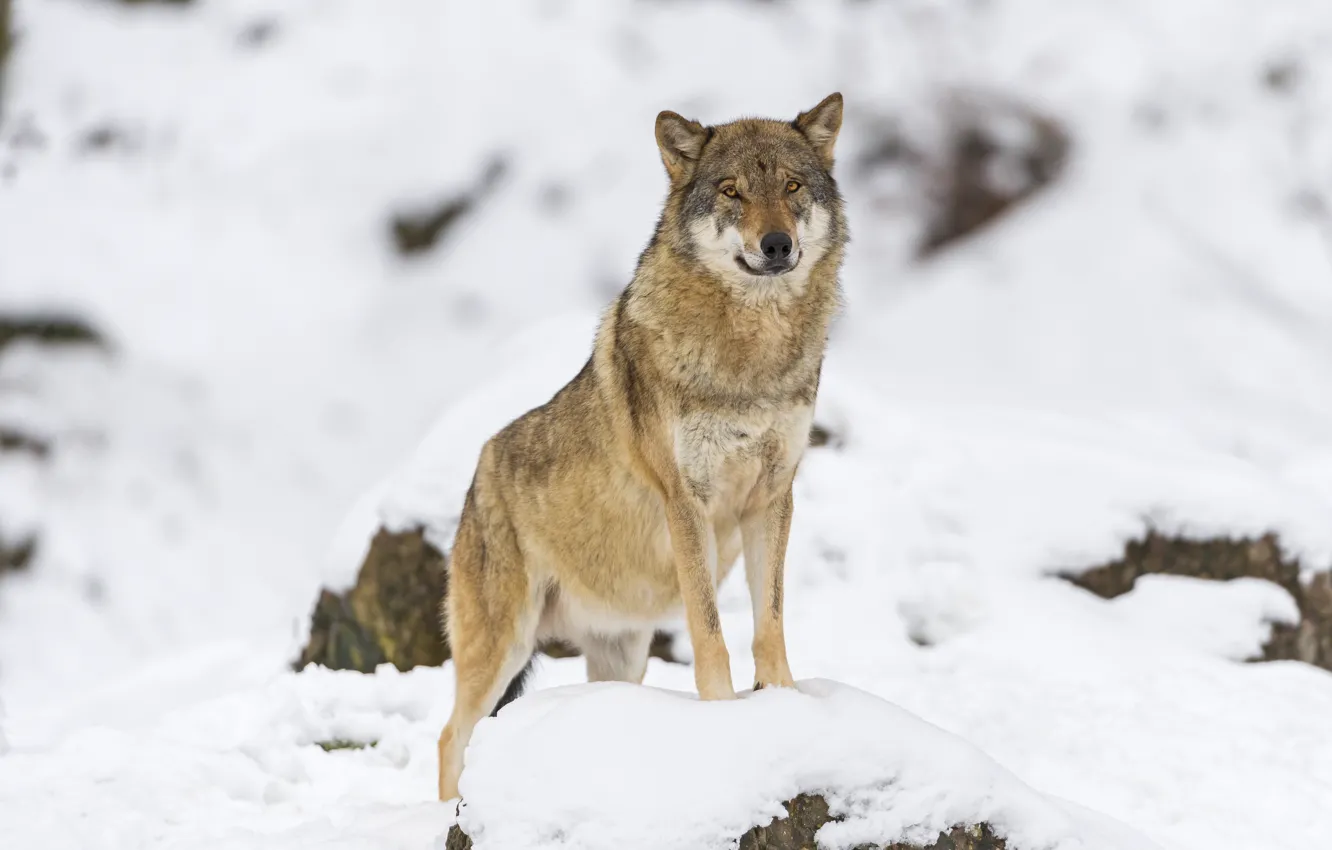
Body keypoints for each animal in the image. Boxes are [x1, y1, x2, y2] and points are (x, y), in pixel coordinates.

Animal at [437, 93, 848, 801]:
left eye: (792, 187)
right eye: (732, 191)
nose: (776, 245)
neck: (750, 361)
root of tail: (477, 474)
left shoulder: (772, 497)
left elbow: (769, 626)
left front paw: (783, 708)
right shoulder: (687, 502)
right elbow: (711, 633)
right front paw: (724, 717)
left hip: (617, 654)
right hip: (503, 648)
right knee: (448, 739)